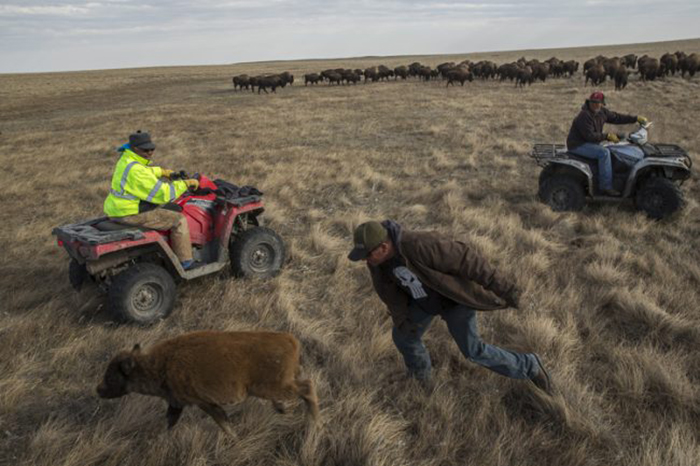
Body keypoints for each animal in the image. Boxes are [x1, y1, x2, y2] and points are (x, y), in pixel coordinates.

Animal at [96, 330, 320, 436]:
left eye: (111, 377)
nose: (98, 390)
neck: (161, 365)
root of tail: (291, 340)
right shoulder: (176, 403)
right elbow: (169, 421)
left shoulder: (202, 402)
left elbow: (222, 422)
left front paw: (234, 438)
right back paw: (284, 410)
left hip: (271, 387)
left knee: (307, 387)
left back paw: (314, 421)